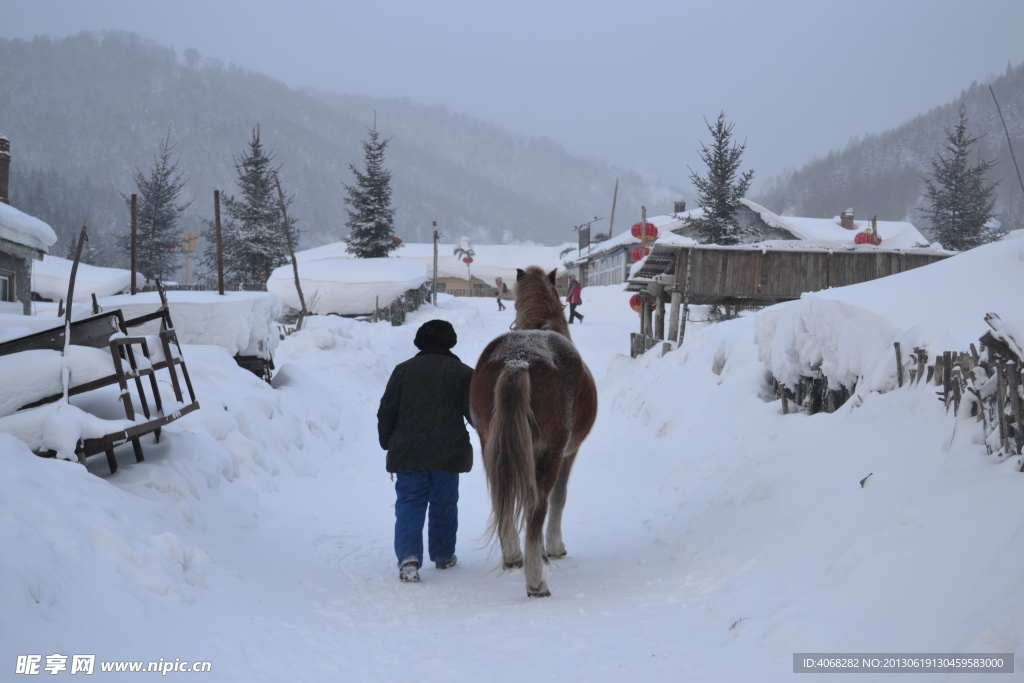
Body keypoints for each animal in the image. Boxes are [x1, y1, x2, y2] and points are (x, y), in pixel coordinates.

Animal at [470, 266, 598, 597]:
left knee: (501, 500)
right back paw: (536, 580)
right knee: (537, 504)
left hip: (491, 448)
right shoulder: (567, 452)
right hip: (549, 454)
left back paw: (514, 556)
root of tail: (519, 359)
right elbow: (559, 498)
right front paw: (552, 547)